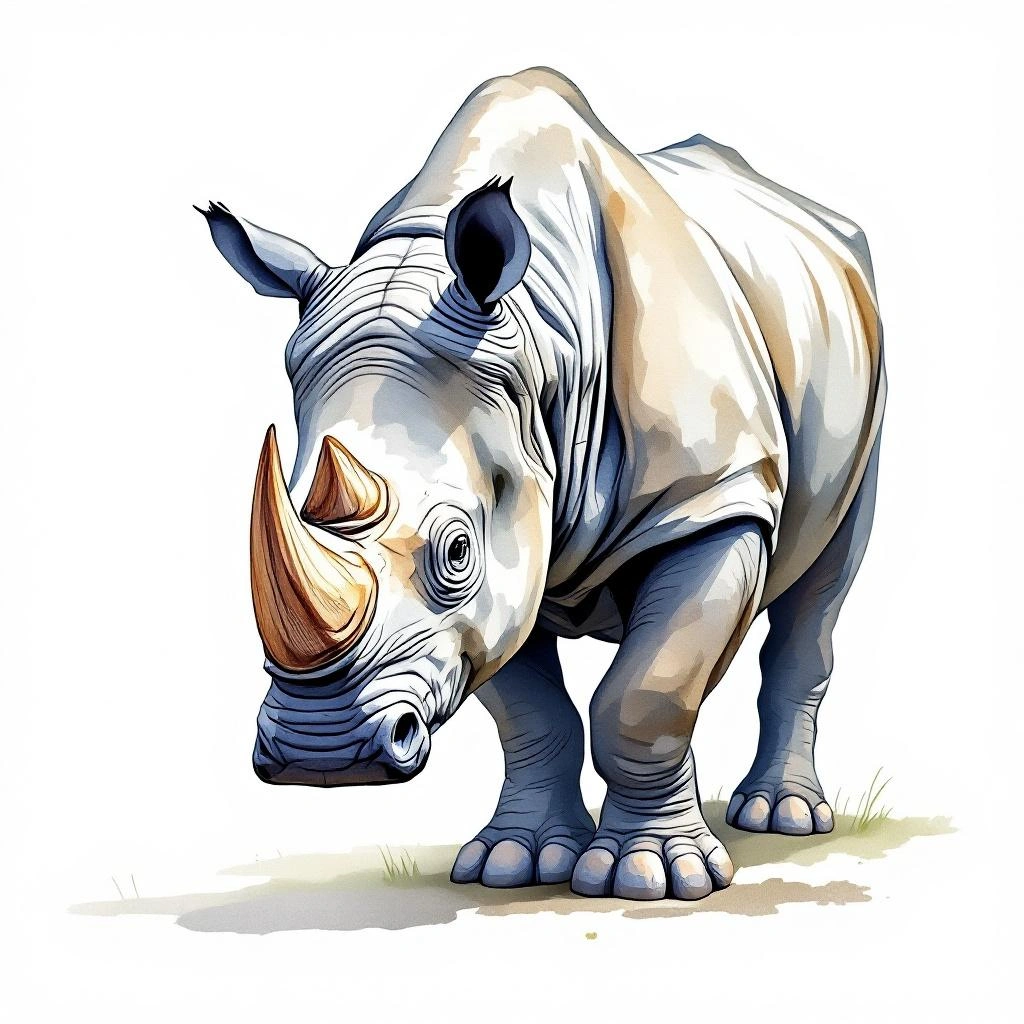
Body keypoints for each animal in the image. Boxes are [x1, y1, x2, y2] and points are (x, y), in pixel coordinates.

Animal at [198, 67, 885, 901]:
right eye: (288, 509)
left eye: (456, 550)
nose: (320, 755)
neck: (540, 347)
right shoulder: (501, 569)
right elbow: (530, 711)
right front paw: (515, 863)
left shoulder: (712, 497)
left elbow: (646, 694)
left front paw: (654, 878)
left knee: (821, 586)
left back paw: (779, 817)